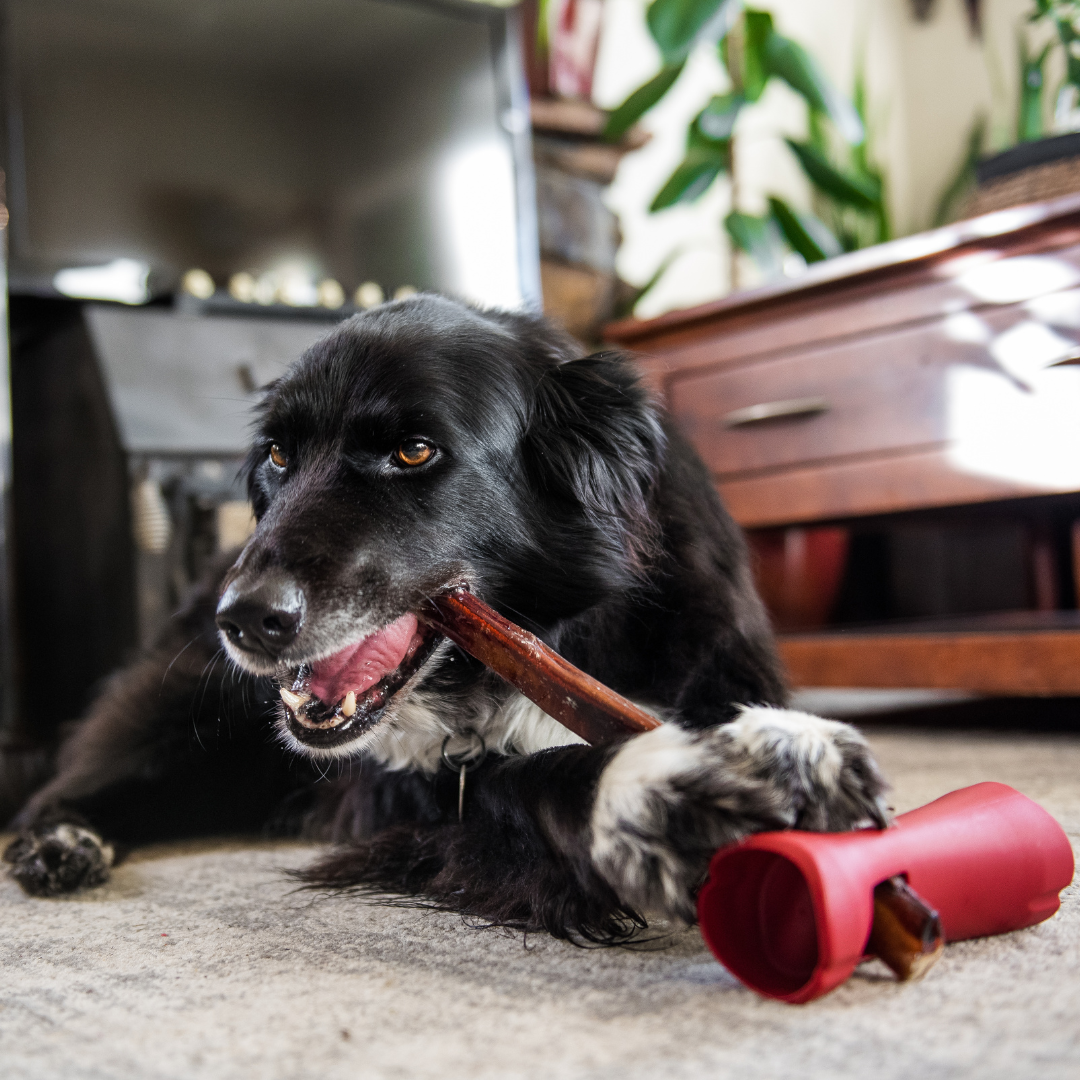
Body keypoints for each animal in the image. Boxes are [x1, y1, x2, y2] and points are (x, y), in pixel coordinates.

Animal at [4, 293, 889, 937]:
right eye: (279, 457)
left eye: (415, 450)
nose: (244, 619)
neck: (566, 628)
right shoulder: (432, 800)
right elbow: (535, 775)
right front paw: (662, 785)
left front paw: (778, 745)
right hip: (185, 722)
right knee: (61, 783)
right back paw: (58, 841)